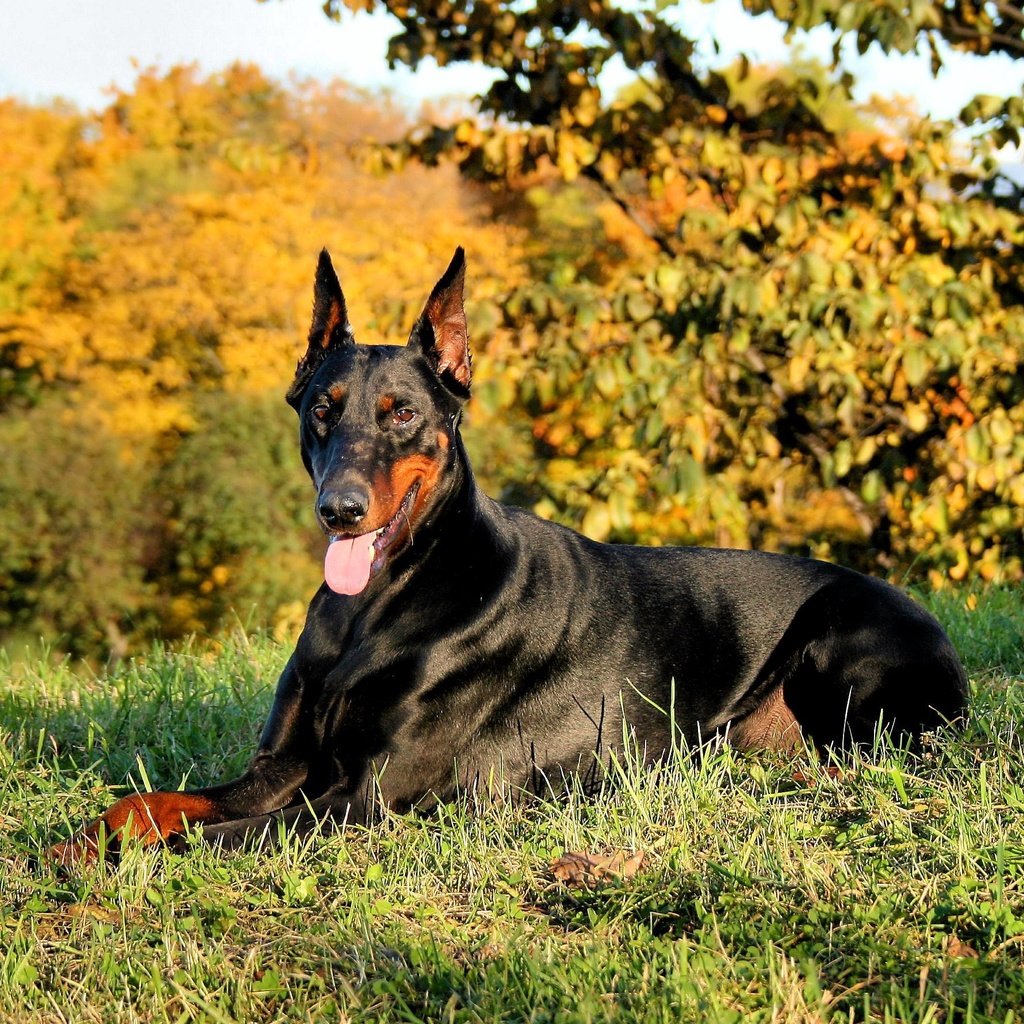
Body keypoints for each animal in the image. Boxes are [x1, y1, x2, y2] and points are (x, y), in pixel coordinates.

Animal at [49, 247, 966, 864]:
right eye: (321, 407)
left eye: (403, 412)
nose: (340, 509)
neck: (377, 606)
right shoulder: (283, 764)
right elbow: (149, 804)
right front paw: (75, 840)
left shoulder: (364, 796)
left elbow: (200, 838)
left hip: (840, 639)